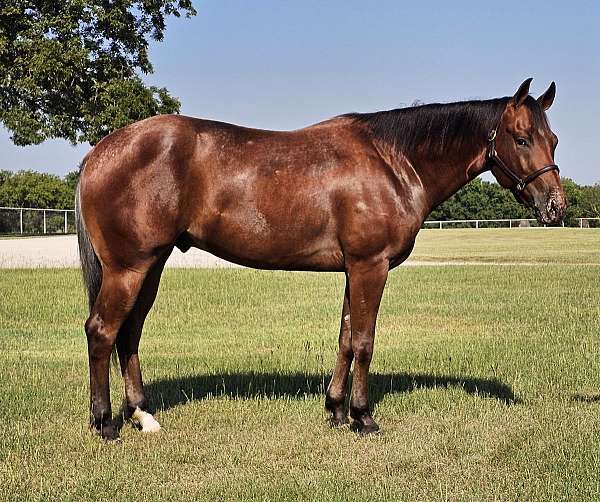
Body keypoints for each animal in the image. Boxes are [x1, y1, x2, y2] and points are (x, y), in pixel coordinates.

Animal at [76, 78, 568, 440]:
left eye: (554, 139)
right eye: (521, 138)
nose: (555, 207)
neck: (394, 161)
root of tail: (102, 151)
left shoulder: (356, 268)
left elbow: (346, 339)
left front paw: (335, 410)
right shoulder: (371, 265)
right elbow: (365, 342)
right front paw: (363, 417)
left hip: (151, 265)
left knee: (129, 334)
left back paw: (142, 416)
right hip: (129, 268)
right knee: (102, 331)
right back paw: (104, 424)